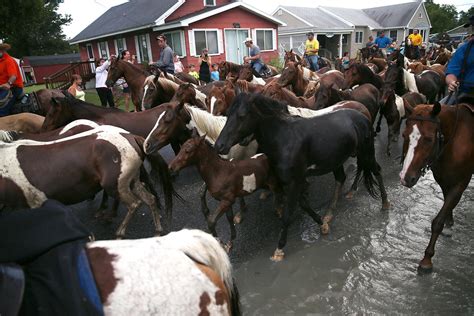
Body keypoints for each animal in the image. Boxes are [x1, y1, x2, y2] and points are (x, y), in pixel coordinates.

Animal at [0, 122, 174, 238]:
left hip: (115, 185)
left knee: (134, 204)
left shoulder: (36, 205)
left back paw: (118, 232)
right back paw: (157, 231)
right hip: (131, 182)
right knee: (150, 199)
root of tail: (130, 136)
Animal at [215, 93, 388, 262]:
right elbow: (303, 204)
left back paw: (385, 204)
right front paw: (322, 224)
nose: (219, 146)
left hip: (366, 152)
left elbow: (288, 213)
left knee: (377, 171)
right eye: (227, 114)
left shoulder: (294, 181)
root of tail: (363, 116)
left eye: (242, 115)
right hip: (338, 160)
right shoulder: (292, 181)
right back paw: (331, 212)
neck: (284, 138)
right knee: (343, 177)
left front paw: (279, 250)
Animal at [400, 102, 474, 272]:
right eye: (404, 135)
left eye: (428, 139)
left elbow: (438, 221)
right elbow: (447, 201)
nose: (406, 177)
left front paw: (427, 259)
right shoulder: (443, 179)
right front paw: (449, 222)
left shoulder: (460, 183)